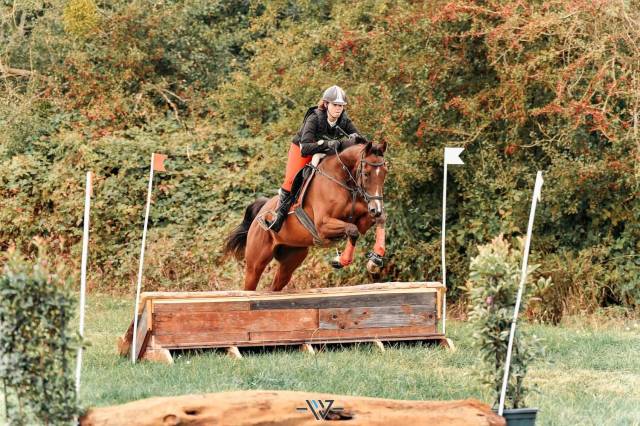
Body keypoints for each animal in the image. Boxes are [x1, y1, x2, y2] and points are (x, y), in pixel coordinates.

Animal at [224, 137, 388, 291]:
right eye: (366, 174)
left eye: (385, 173)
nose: (376, 208)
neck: (342, 178)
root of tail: (262, 209)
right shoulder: (323, 225)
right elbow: (352, 230)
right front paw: (342, 260)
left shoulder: (362, 221)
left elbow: (376, 221)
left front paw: (375, 260)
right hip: (255, 263)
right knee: (250, 283)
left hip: (291, 259)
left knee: (275, 285)